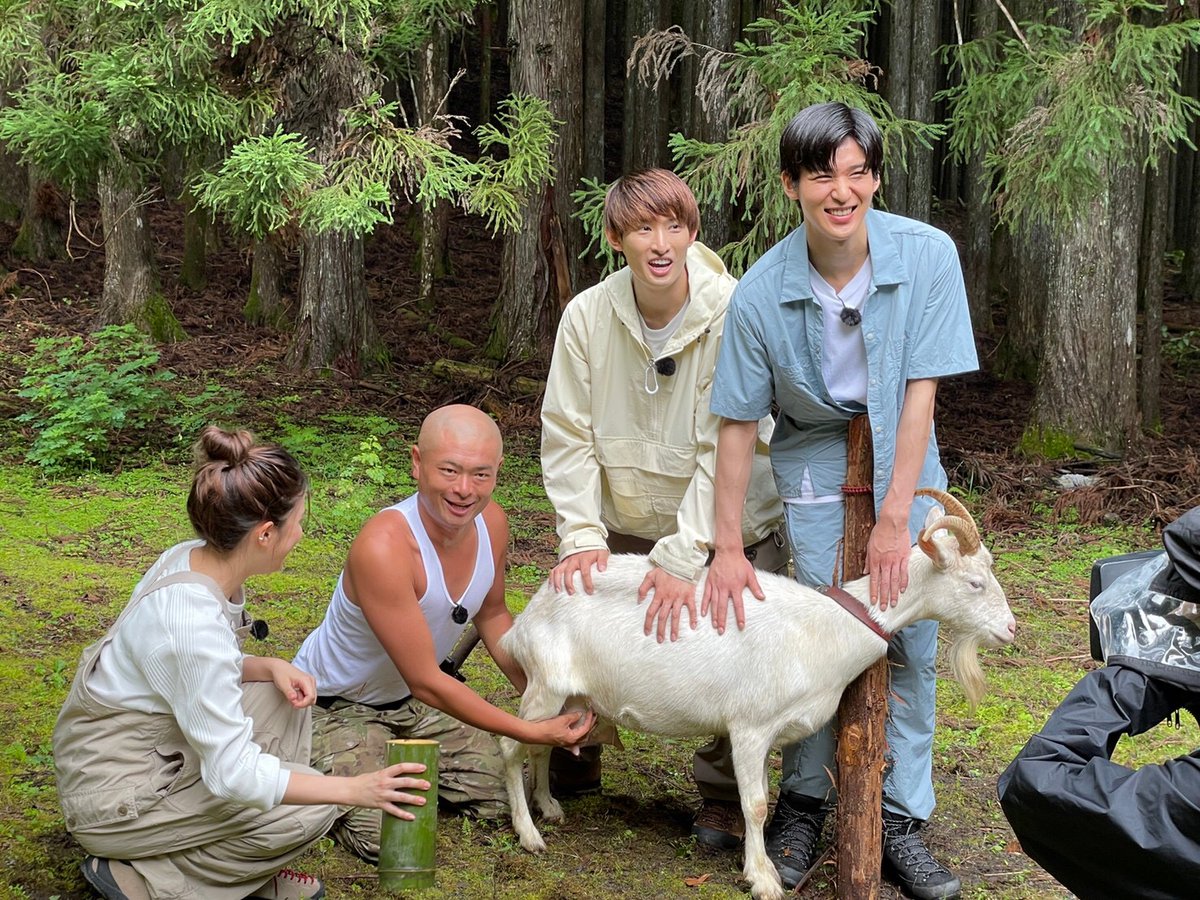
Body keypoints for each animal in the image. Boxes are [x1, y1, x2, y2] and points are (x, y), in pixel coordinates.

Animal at [501, 494, 1017, 900]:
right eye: (974, 582)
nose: (1010, 629)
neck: (826, 627)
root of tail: (526, 618)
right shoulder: (749, 726)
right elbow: (755, 804)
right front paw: (763, 878)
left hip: (569, 697)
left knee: (543, 742)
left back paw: (549, 808)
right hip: (545, 685)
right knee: (511, 745)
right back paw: (529, 834)